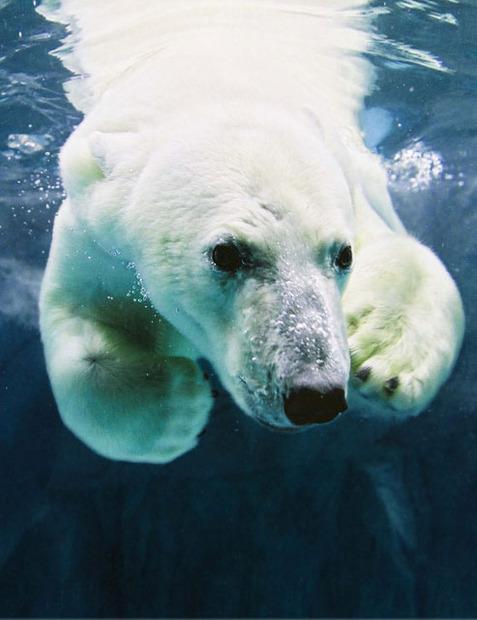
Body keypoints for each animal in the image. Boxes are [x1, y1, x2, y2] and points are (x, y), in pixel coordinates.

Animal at [39, 0, 462, 460]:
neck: (214, 83)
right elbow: (80, 316)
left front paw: (386, 358)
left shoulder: (351, 175)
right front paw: (176, 406)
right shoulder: (96, 234)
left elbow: (405, 252)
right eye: (225, 253)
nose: (315, 395)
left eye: (343, 254)